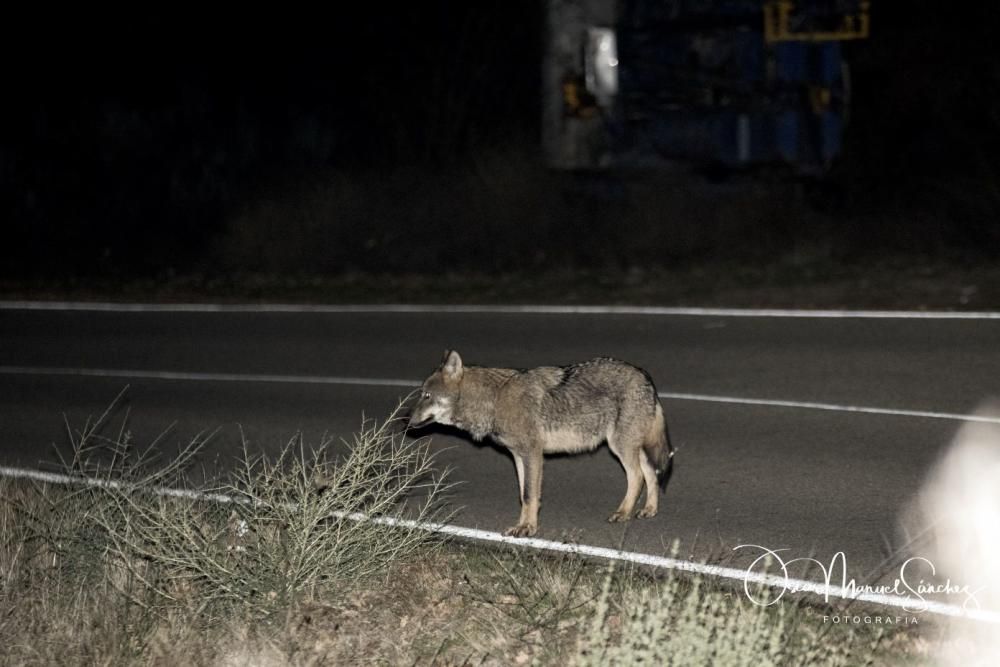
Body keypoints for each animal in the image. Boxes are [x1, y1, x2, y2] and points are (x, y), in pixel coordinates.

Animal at [406, 350, 672, 536]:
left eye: (426, 396)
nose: (406, 421)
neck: (495, 399)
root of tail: (645, 376)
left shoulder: (533, 454)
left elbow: (529, 494)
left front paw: (528, 529)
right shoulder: (519, 456)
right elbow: (524, 495)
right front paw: (523, 525)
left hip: (620, 447)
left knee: (638, 476)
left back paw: (623, 513)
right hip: (632, 447)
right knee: (652, 474)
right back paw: (649, 510)